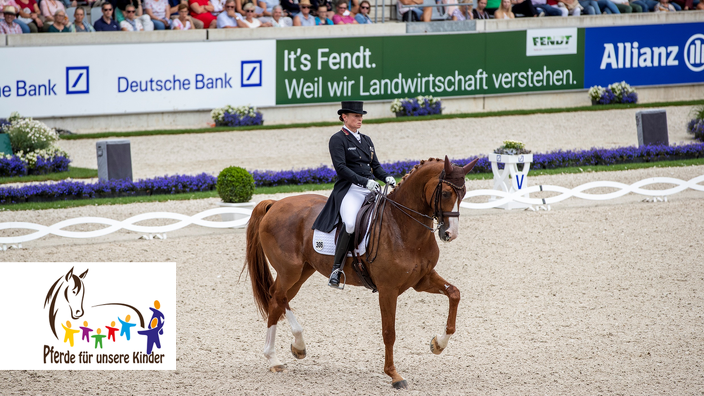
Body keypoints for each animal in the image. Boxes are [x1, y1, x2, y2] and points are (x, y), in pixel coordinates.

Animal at [243, 155, 478, 390]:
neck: (402, 225)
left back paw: (283, 354)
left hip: (302, 272)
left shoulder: (422, 280)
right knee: (278, 297)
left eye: (464, 193)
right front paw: (394, 375)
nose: (450, 233)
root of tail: (275, 204)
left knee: (278, 300)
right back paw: (286, 351)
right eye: (446, 193)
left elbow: (454, 294)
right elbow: (389, 332)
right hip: (289, 271)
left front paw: (438, 344)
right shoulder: (388, 289)